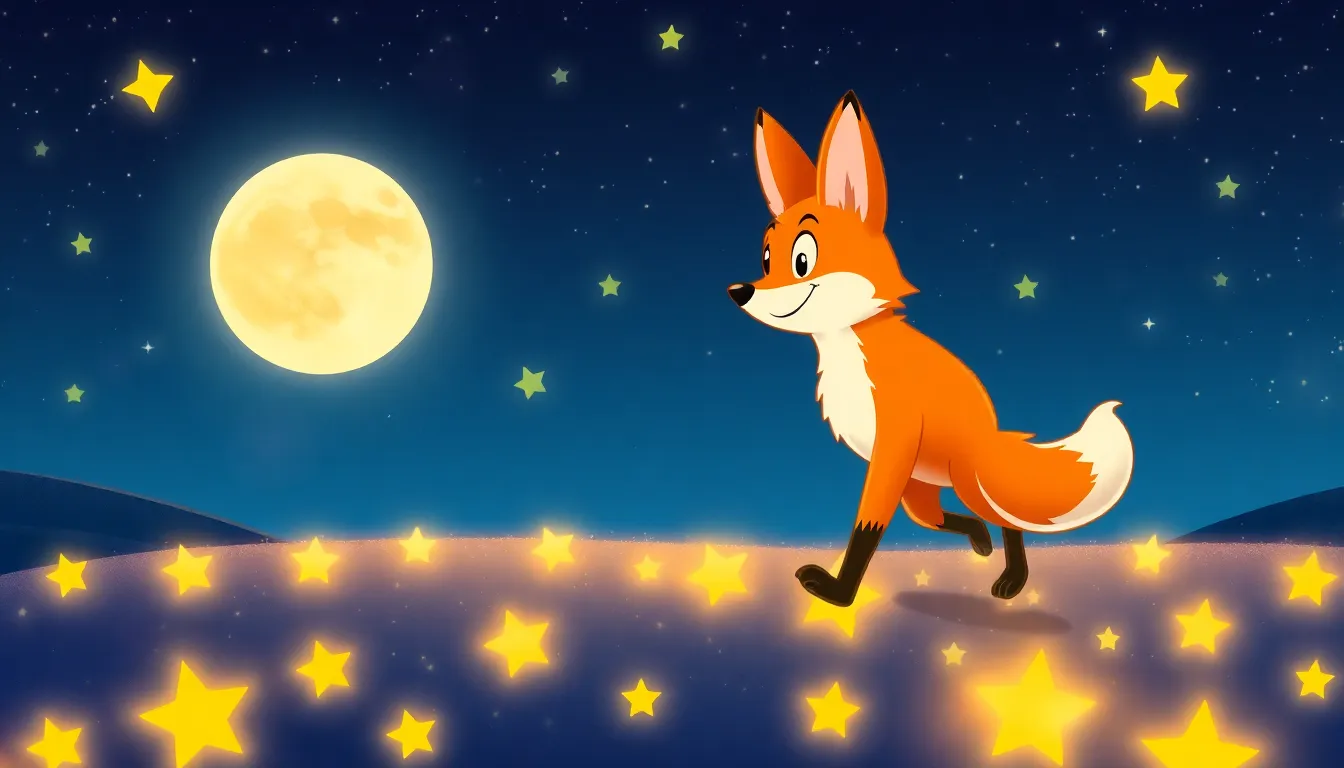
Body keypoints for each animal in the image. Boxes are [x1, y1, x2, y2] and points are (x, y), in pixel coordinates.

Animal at [728, 91, 1135, 607]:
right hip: (920, 489)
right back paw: (981, 543)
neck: (852, 349)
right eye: (765, 257)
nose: (739, 292)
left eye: (803, 260)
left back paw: (1013, 578)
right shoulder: (895, 467)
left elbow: (865, 530)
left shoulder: (892, 447)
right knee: (946, 519)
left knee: (1007, 519)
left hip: (963, 480)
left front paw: (838, 594)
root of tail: (992, 436)